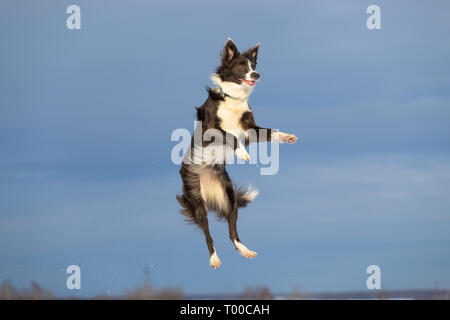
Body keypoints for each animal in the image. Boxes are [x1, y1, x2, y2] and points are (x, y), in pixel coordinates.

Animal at [178, 38, 298, 268]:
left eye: (254, 65)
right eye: (242, 66)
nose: (257, 75)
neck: (232, 97)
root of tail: (209, 191)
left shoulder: (250, 130)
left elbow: (270, 132)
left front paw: (287, 136)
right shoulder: (209, 132)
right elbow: (230, 136)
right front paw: (242, 154)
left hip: (230, 198)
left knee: (232, 233)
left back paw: (246, 251)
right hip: (197, 201)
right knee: (208, 235)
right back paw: (214, 259)